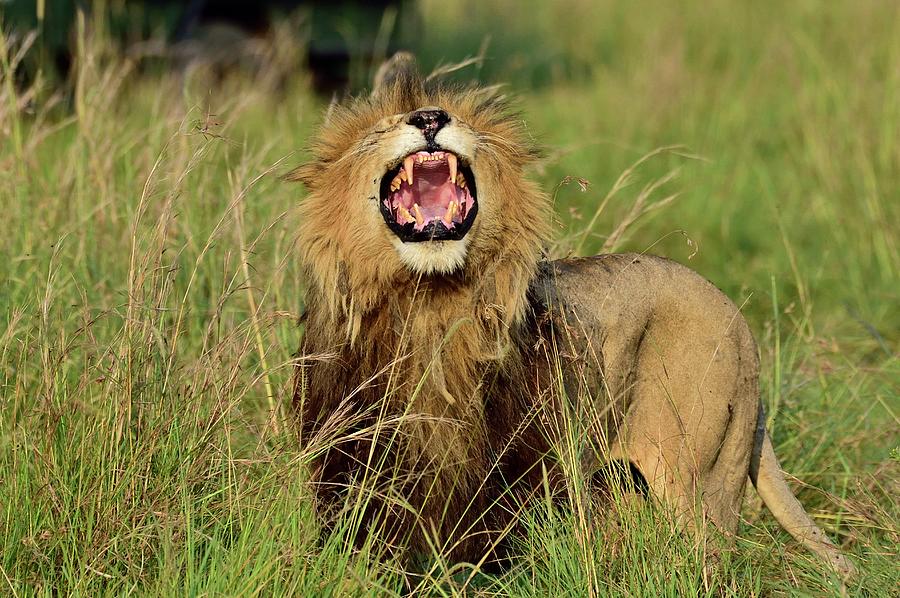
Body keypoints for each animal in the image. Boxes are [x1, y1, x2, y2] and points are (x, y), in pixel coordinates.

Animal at [290, 52, 856, 576]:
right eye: (379, 129)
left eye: (463, 121)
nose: (429, 117)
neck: (428, 301)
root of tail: (737, 318)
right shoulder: (348, 460)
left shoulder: (507, 468)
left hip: (700, 482)